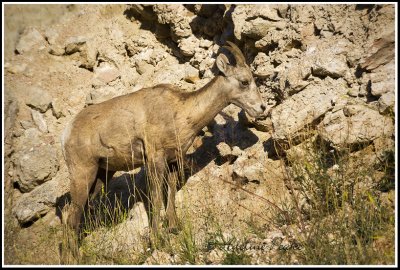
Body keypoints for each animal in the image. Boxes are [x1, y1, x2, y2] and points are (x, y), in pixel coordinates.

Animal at [62, 41, 268, 240]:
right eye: (244, 81)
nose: (262, 108)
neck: (180, 111)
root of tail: (67, 132)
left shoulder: (173, 162)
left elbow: (171, 194)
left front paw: (173, 226)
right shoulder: (156, 161)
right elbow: (156, 199)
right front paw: (156, 239)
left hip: (101, 176)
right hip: (83, 174)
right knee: (71, 220)